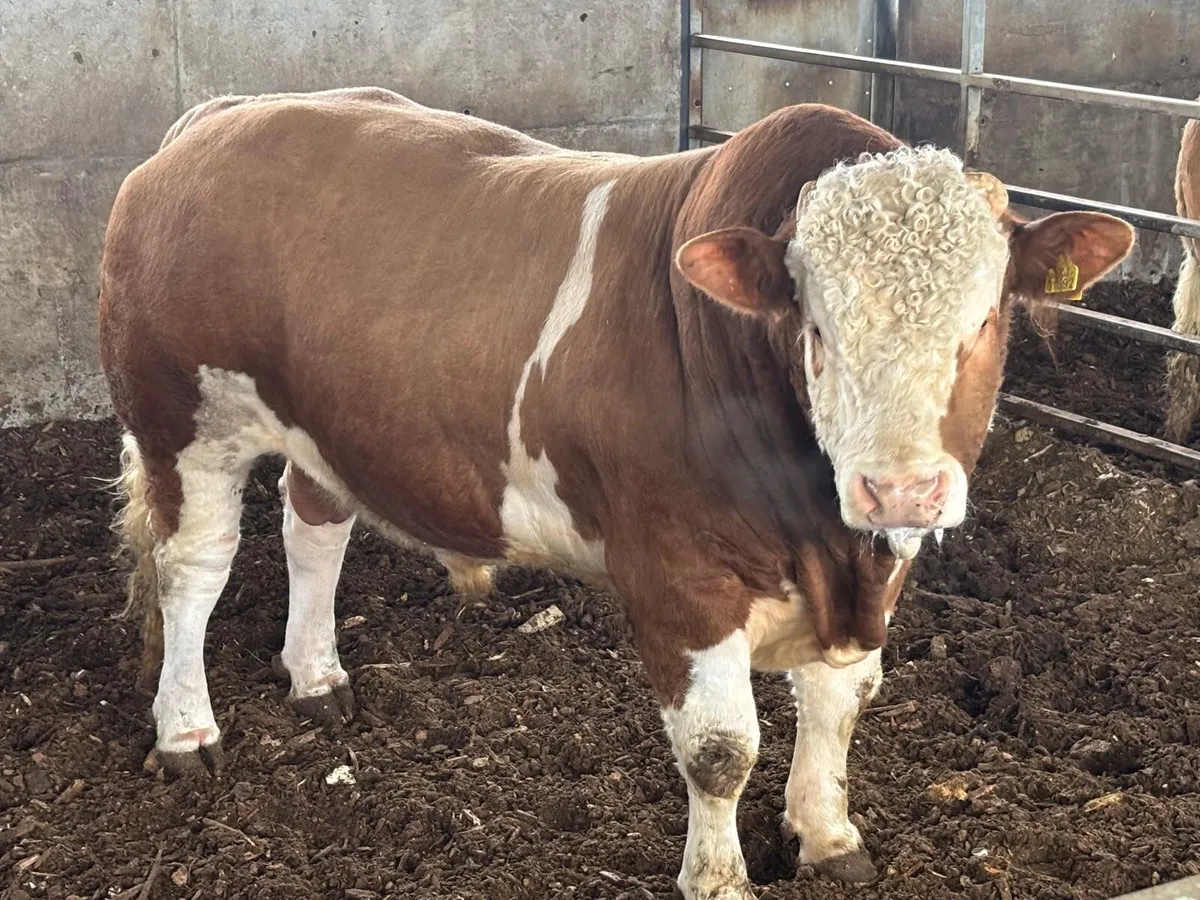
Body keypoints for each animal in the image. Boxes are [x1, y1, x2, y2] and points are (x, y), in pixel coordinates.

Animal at [98, 88, 1133, 899]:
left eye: (988, 316)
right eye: (815, 325)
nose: (901, 488)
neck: (822, 540)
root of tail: (221, 115)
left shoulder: (869, 574)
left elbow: (842, 701)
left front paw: (828, 834)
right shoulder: (677, 577)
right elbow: (721, 748)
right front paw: (717, 879)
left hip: (325, 425)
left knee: (314, 524)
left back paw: (316, 677)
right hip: (182, 420)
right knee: (193, 568)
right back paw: (185, 727)